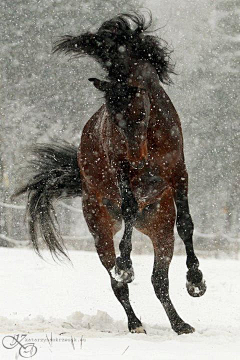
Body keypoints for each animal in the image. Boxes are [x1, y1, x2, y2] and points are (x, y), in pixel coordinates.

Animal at [15, 13, 206, 334]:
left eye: (140, 112)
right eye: (111, 118)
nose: (137, 159)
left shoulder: (179, 173)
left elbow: (187, 224)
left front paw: (196, 282)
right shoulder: (121, 172)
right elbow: (128, 208)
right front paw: (125, 266)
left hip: (160, 229)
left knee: (159, 281)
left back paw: (180, 324)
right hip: (100, 229)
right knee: (118, 282)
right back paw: (135, 322)